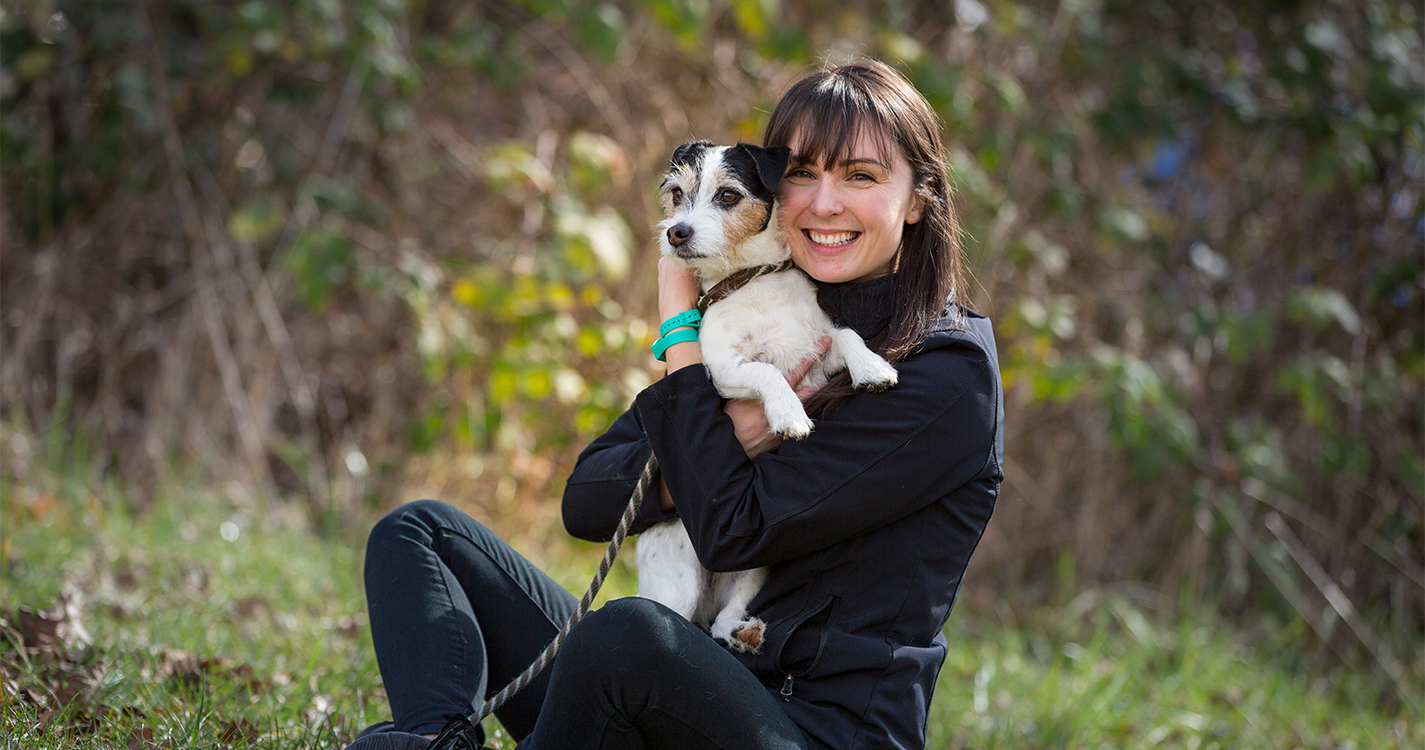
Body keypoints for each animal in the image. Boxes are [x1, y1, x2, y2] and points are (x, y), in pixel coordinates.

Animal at [638, 142, 894, 653]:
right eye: (676, 194)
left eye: (729, 195)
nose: (676, 233)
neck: (752, 280)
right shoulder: (720, 368)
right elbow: (766, 370)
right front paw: (789, 414)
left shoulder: (817, 348)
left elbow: (848, 335)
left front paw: (873, 368)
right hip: (676, 580)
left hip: (753, 572)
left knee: (722, 620)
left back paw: (745, 633)